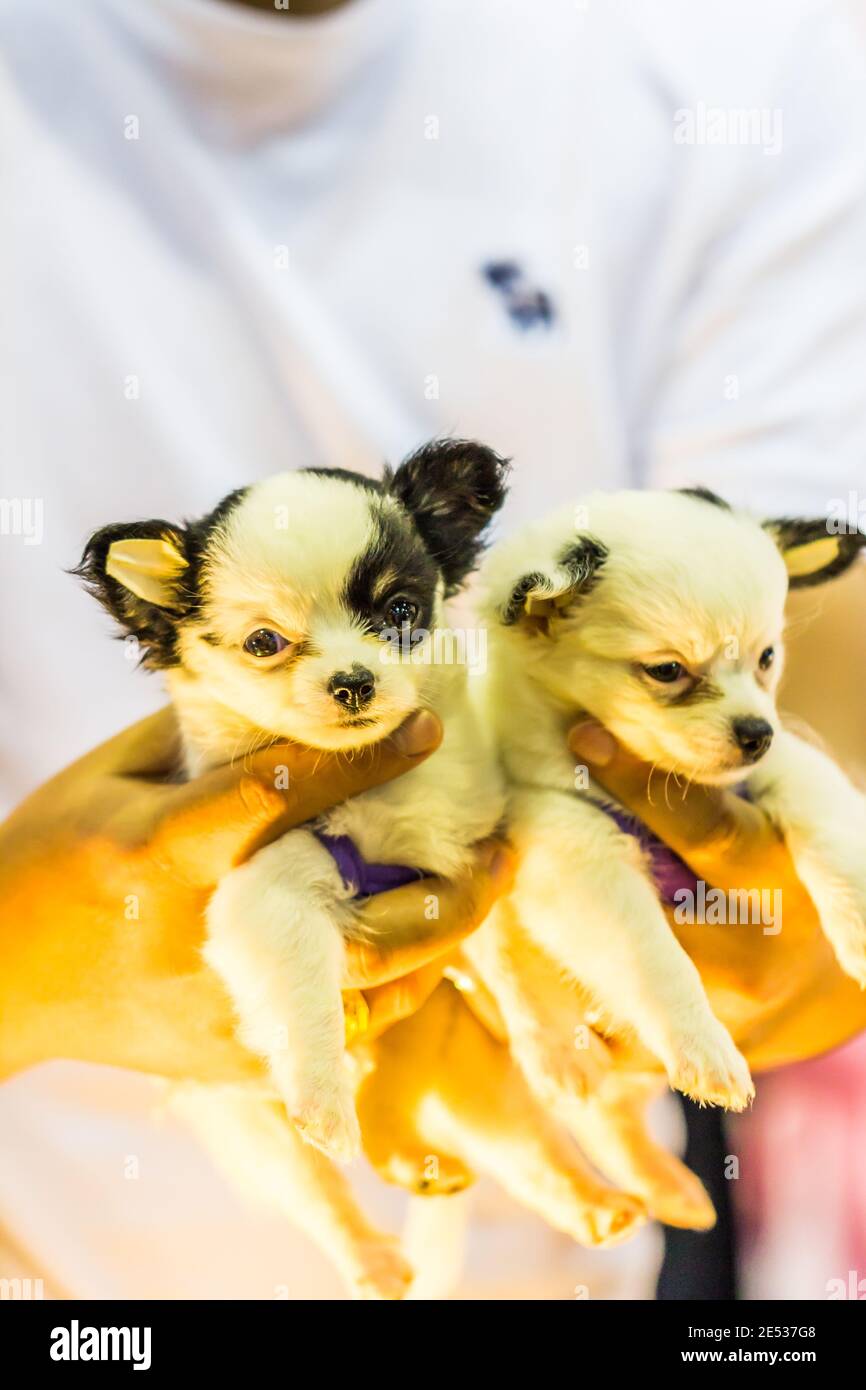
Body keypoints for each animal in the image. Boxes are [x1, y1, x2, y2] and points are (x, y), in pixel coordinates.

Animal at [78, 442, 511, 1162]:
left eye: (401, 612)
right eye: (263, 643)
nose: (352, 682)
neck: (371, 783)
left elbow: (507, 945)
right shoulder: (267, 890)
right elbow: (304, 994)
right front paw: (325, 1105)